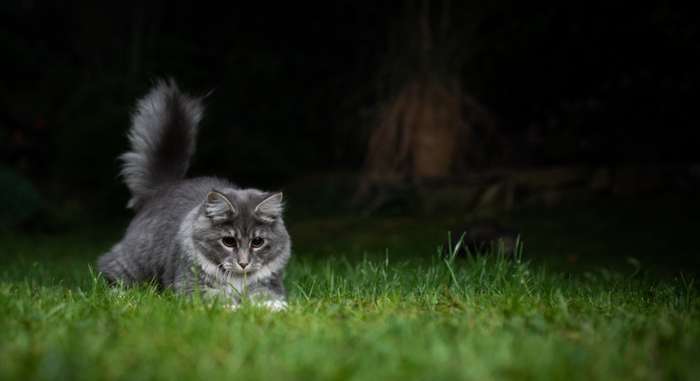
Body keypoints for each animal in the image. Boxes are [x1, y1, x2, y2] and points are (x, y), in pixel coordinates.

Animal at [96, 79, 290, 308]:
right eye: (228, 241)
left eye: (257, 242)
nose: (243, 263)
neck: (237, 279)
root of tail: (165, 187)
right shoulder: (193, 288)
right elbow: (220, 299)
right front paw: (235, 308)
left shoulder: (270, 285)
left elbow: (266, 297)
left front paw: (274, 309)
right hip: (134, 263)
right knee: (110, 270)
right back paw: (119, 295)